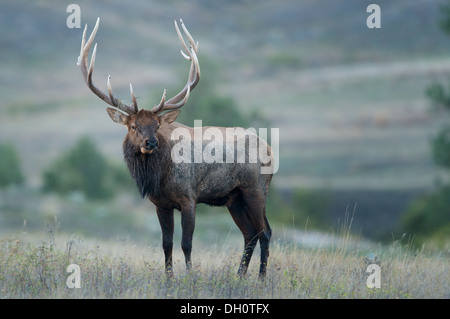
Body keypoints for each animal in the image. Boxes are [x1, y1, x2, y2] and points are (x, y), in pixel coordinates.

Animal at [77, 17, 274, 278]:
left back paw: (260, 279)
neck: (159, 177)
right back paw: (239, 276)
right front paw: (169, 279)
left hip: (256, 188)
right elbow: (166, 244)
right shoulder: (161, 204)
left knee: (265, 232)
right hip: (235, 198)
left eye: (157, 124)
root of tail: (272, 150)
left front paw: (189, 277)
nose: (151, 142)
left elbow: (186, 243)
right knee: (250, 234)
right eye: (133, 126)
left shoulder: (189, 197)